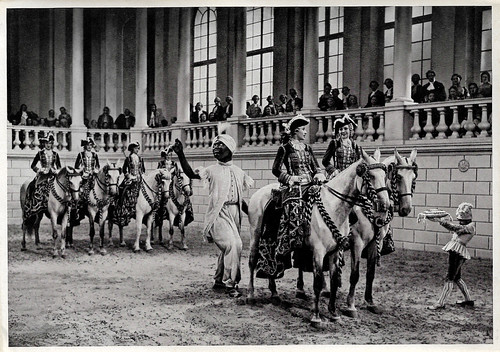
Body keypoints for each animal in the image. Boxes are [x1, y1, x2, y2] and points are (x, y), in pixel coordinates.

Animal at [248, 148, 392, 324]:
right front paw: (317, 317)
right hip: (255, 235)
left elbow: (335, 279)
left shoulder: (336, 250)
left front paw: (334, 313)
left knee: (273, 261)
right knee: (252, 261)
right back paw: (250, 295)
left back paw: (275, 294)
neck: (333, 206)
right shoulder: (322, 251)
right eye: (370, 176)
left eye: (384, 175)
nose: (385, 205)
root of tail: (259, 193)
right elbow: (318, 283)